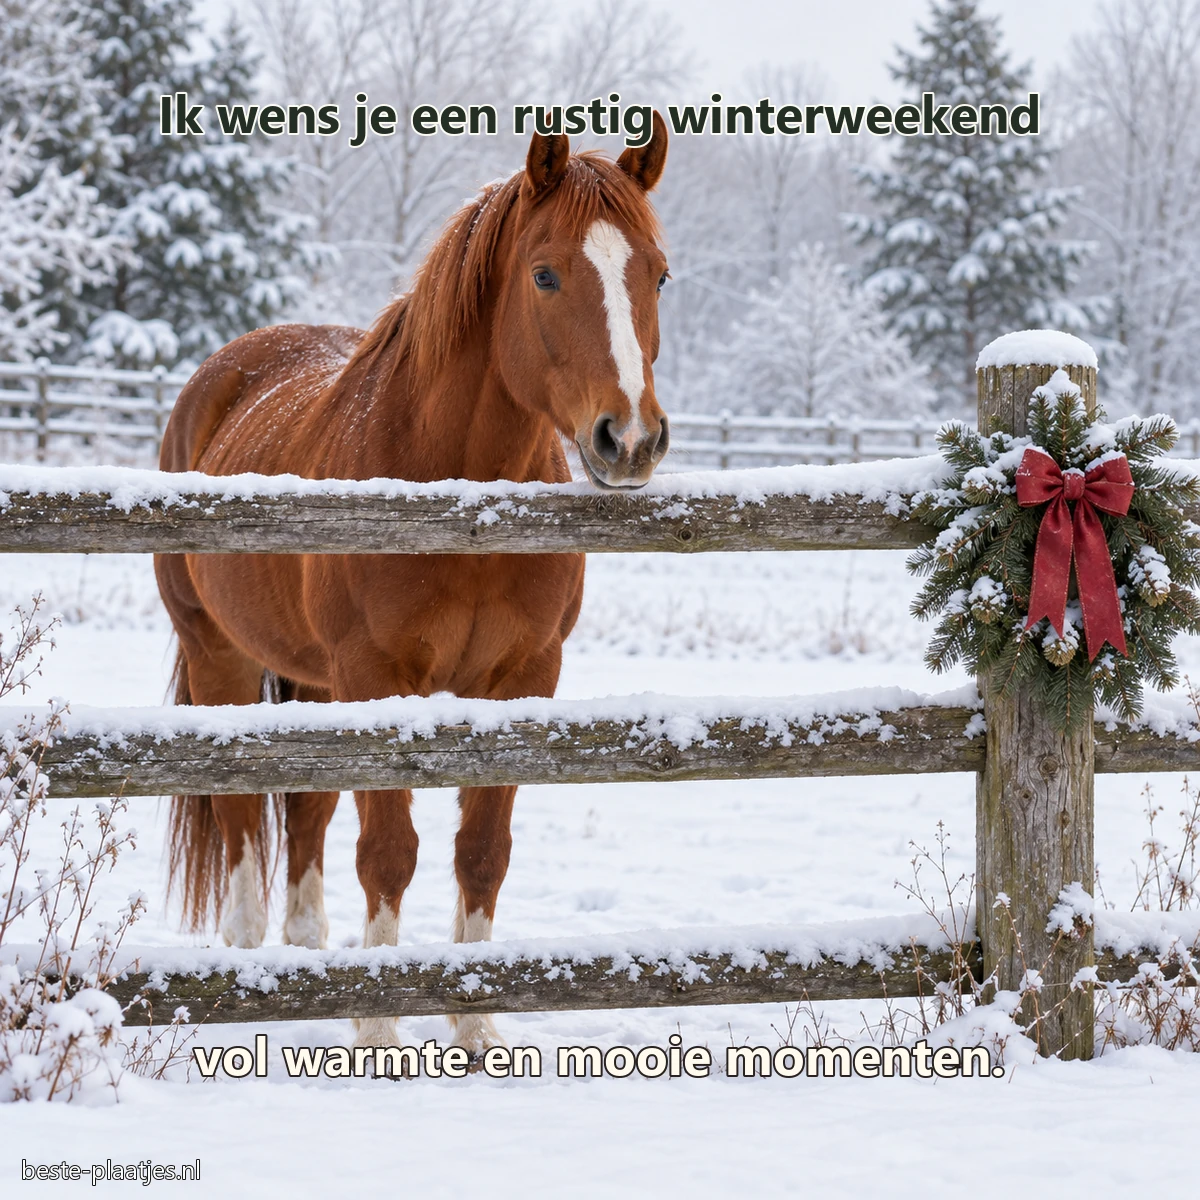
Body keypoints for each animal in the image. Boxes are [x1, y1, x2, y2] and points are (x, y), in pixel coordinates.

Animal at [154, 117, 671, 1055]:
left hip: (313, 686)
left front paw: (474, 1027)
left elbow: (482, 852)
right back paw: (246, 967)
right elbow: (388, 851)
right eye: (545, 273)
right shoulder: (375, 677)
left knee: (307, 817)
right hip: (221, 662)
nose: (630, 439)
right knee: (243, 815)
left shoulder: (524, 680)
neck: (460, 506)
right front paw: (379, 1032)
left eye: (658, 273)